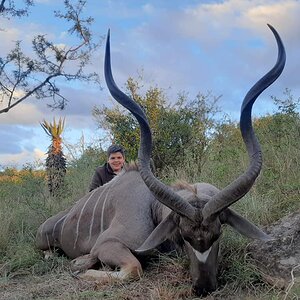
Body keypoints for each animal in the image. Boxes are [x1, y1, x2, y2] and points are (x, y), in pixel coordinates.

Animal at [37, 24, 286, 296]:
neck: (152, 207)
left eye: (217, 234)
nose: (203, 287)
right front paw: (81, 268)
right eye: (184, 236)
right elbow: (134, 268)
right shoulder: (108, 243)